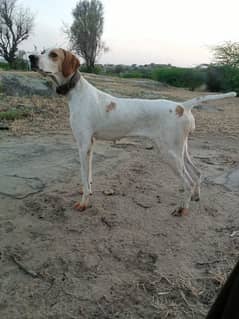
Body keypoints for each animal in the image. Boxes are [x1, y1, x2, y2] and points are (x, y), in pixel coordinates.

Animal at [29, 48, 235, 216]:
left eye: (53, 55)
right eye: (42, 51)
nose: (31, 57)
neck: (78, 92)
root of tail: (182, 106)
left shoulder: (83, 145)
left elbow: (83, 176)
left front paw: (84, 202)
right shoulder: (90, 145)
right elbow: (88, 176)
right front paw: (88, 191)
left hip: (169, 154)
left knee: (188, 182)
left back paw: (182, 209)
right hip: (180, 151)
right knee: (197, 173)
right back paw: (194, 198)